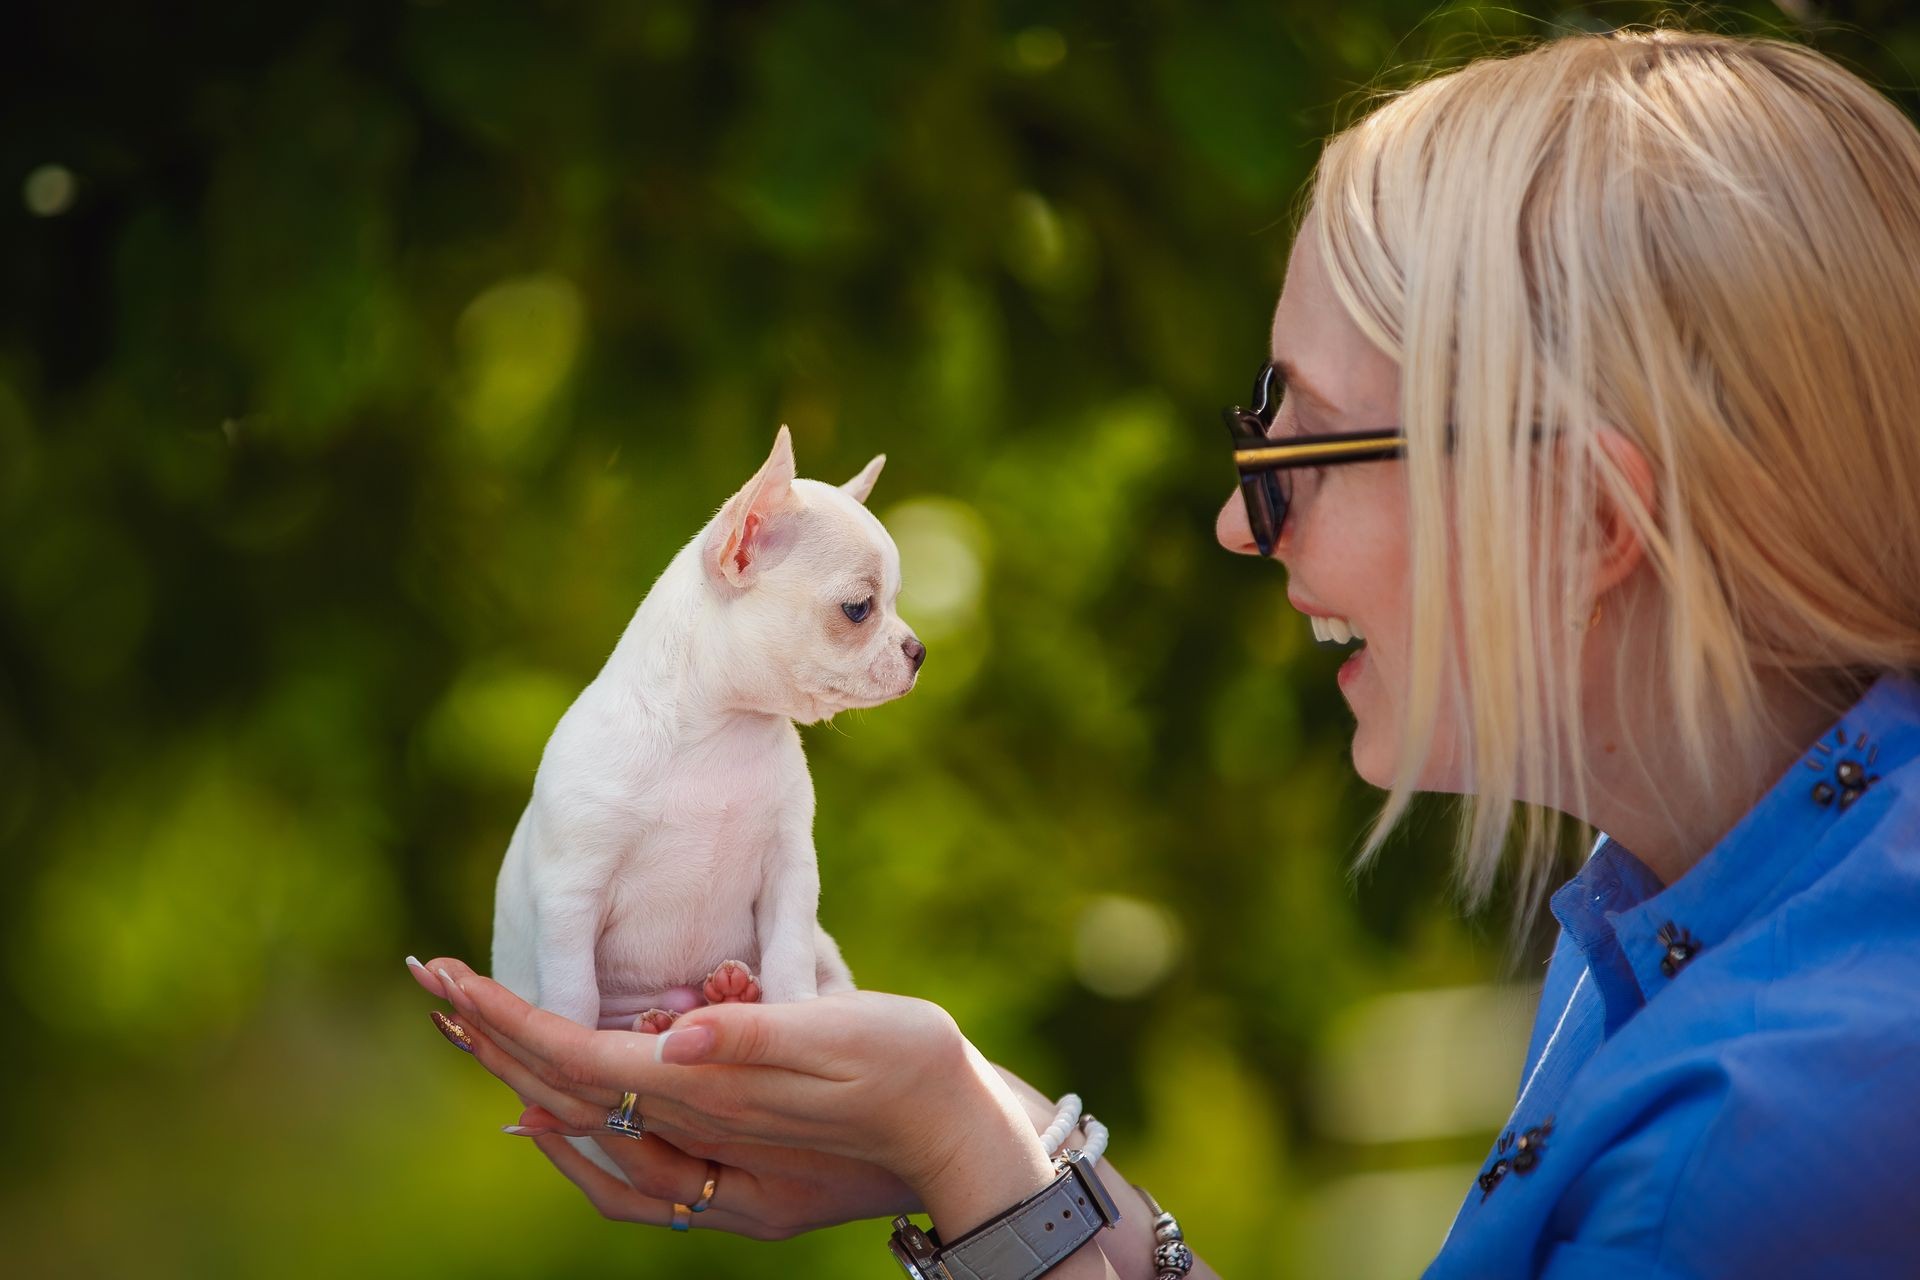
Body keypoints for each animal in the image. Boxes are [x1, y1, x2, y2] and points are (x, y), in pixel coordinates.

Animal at [487, 426, 921, 1043]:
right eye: (859, 609)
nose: (919, 651)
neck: (723, 729)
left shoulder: (789, 875)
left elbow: (789, 953)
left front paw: (797, 1009)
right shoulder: (571, 893)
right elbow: (573, 989)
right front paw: (568, 1029)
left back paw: (731, 991)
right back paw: (657, 1021)